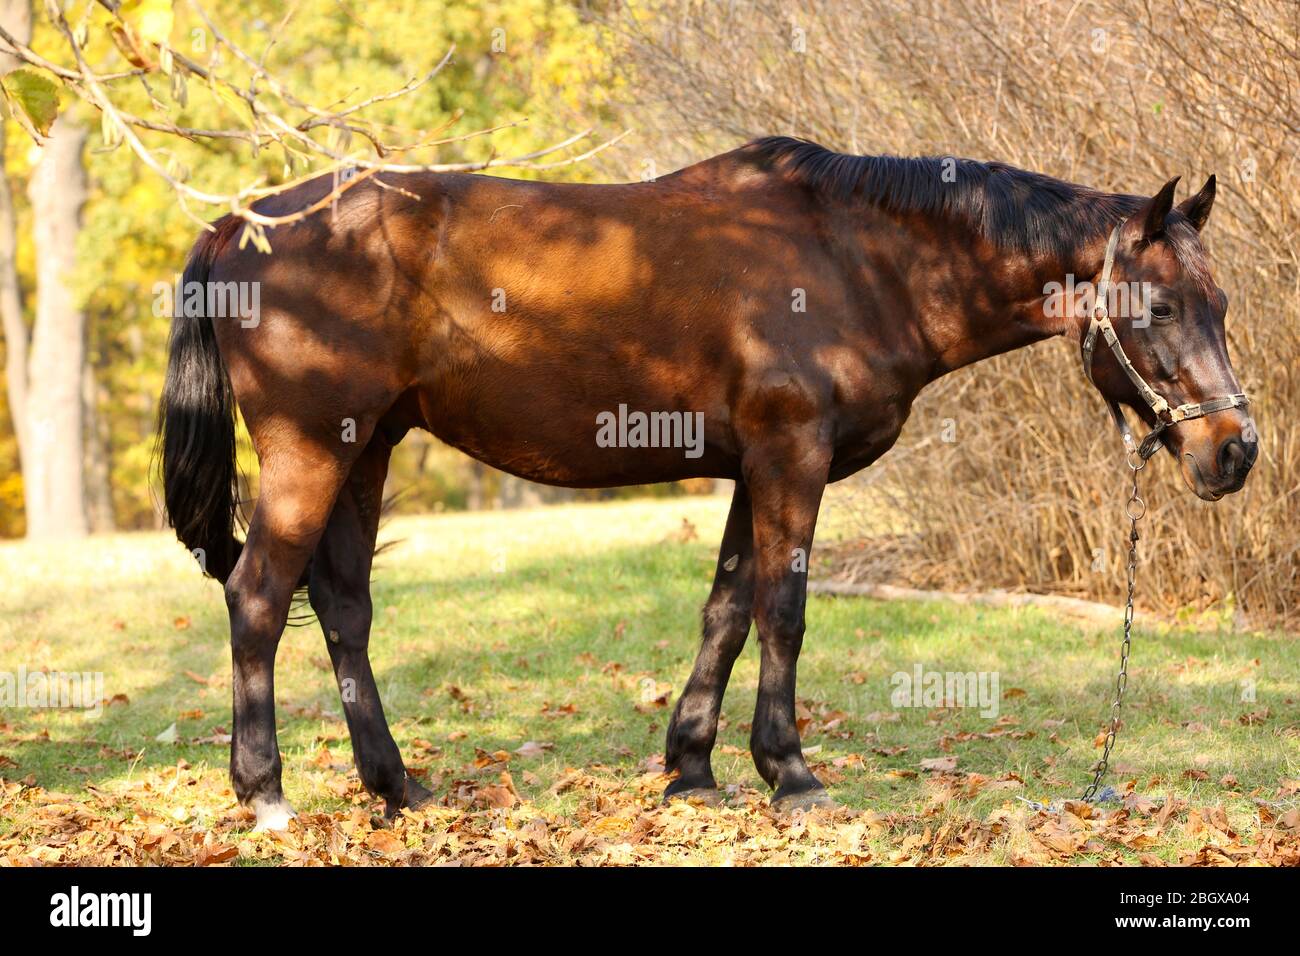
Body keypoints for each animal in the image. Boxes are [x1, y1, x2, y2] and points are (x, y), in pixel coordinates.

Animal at [158, 137, 1256, 829]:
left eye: (1222, 303)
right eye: (1159, 307)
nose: (1234, 450)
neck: (857, 258)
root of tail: (237, 226)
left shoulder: (748, 468)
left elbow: (726, 610)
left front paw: (691, 768)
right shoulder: (790, 459)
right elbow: (783, 611)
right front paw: (792, 772)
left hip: (367, 446)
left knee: (343, 607)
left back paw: (395, 786)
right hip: (311, 451)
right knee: (259, 599)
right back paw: (264, 792)